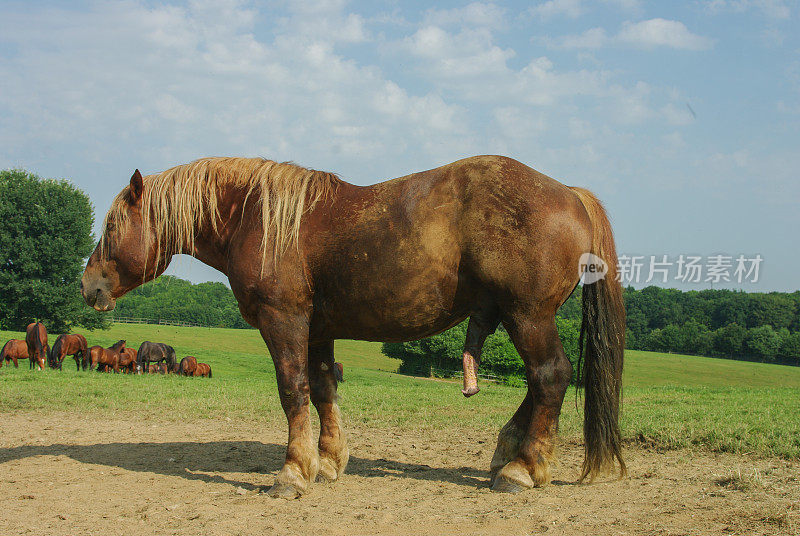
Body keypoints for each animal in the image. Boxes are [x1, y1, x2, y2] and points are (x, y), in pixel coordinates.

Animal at [83, 155, 632, 498]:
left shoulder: (284, 322)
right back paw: (506, 453)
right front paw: (327, 461)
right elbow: (324, 388)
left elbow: (293, 390)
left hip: (528, 315)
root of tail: (571, 195)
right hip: (518, 317)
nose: (88, 285)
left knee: (550, 376)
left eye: (110, 227)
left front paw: (292, 472)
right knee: (540, 384)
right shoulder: (317, 330)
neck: (258, 219)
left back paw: (524, 468)